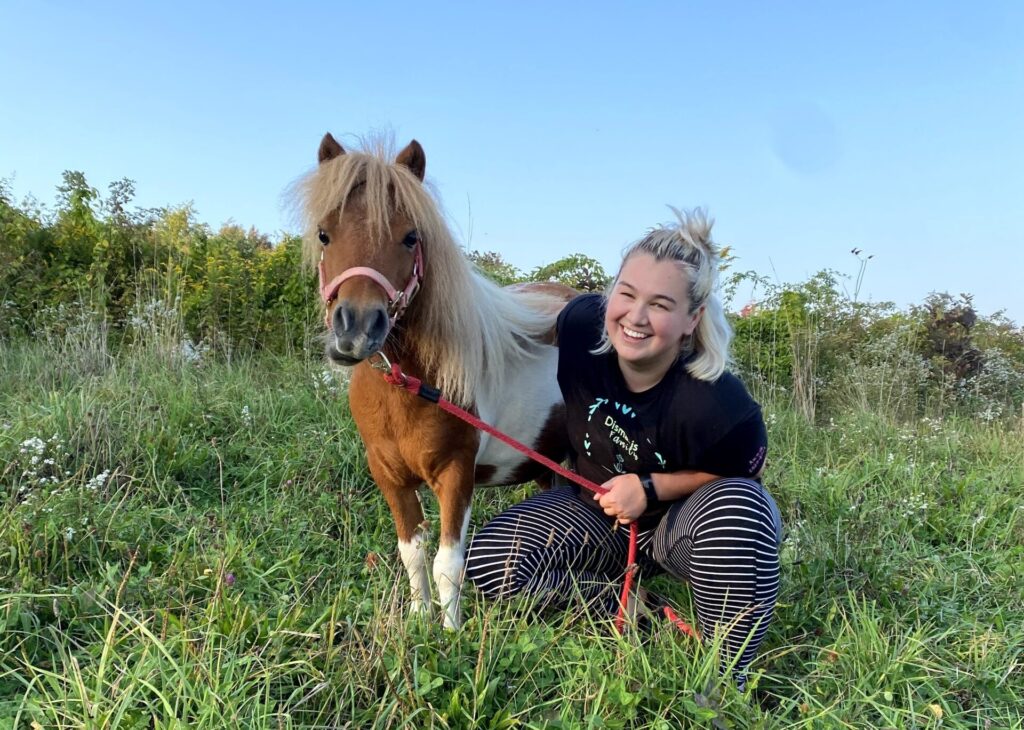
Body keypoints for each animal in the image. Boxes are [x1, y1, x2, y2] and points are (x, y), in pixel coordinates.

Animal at [296, 135, 577, 626]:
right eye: (324, 234)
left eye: (411, 236)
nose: (356, 330)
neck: (408, 389)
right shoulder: (388, 476)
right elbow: (412, 552)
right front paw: (420, 619)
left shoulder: (455, 474)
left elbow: (448, 562)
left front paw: (450, 631)